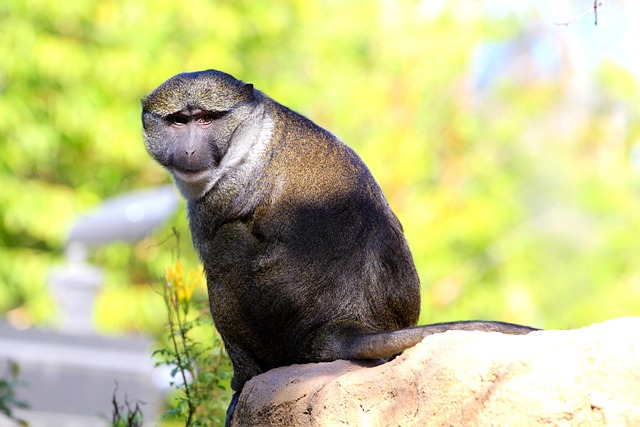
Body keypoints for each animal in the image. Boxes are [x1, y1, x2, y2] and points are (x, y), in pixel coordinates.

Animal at [142, 70, 536, 424]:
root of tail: (347, 324)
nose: (190, 149)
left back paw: (247, 379)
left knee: (228, 243)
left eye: (207, 119)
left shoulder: (217, 200)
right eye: (179, 121)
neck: (248, 134)